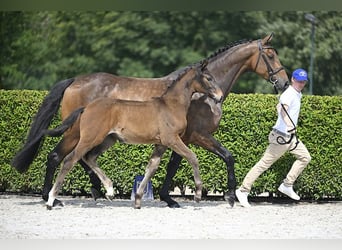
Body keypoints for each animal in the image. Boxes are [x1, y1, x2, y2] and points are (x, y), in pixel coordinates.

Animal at [44, 60, 223, 209]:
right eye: (208, 78)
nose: (220, 96)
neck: (171, 105)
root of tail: (86, 107)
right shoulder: (172, 139)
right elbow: (192, 157)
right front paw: (198, 195)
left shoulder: (161, 144)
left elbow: (151, 167)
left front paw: (137, 200)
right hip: (90, 138)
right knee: (70, 160)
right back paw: (51, 200)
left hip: (108, 140)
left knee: (90, 157)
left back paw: (109, 191)